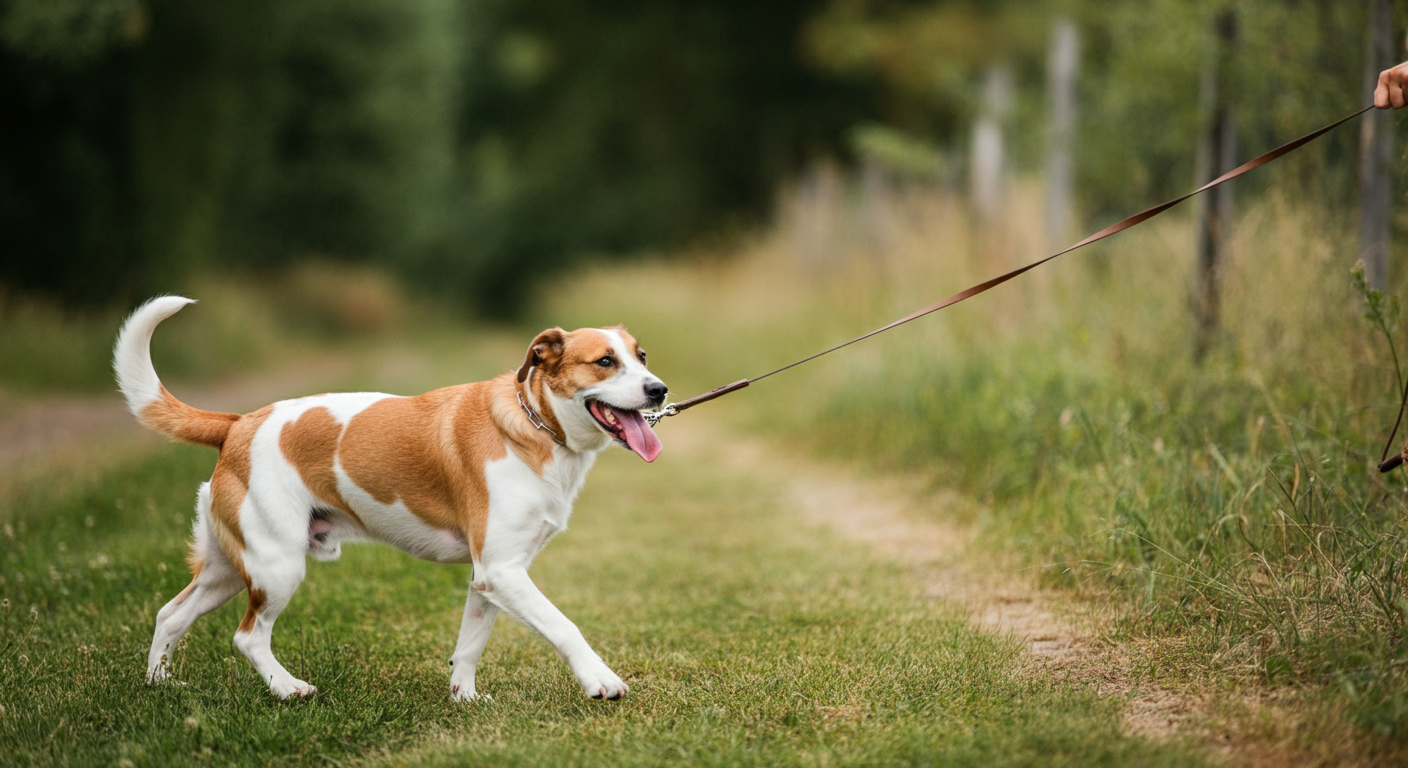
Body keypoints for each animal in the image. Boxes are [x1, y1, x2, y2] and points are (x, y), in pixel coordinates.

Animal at [114, 294, 664, 701]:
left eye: (641, 357)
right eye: (605, 362)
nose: (658, 390)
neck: (536, 427)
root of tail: (238, 424)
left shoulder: (490, 577)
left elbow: (469, 645)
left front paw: (464, 700)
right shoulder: (504, 570)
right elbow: (564, 626)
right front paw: (601, 681)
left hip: (229, 568)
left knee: (171, 614)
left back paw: (161, 686)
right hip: (277, 566)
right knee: (248, 636)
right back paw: (288, 689)